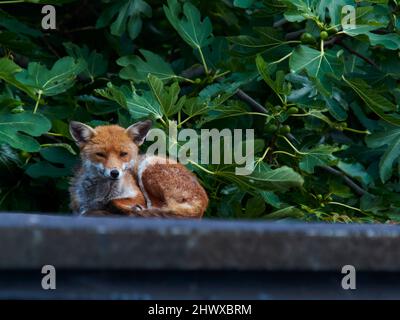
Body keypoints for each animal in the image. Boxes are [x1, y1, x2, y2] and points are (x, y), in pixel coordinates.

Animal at [68, 120, 208, 218]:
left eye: (123, 154)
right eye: (100, 154)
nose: (114, 173)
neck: (103, 195)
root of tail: (204, 201)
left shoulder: (138, 196)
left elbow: (114, 202)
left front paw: (130, 209)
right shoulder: (80, 206)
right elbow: (87, 211)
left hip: (147, 166)